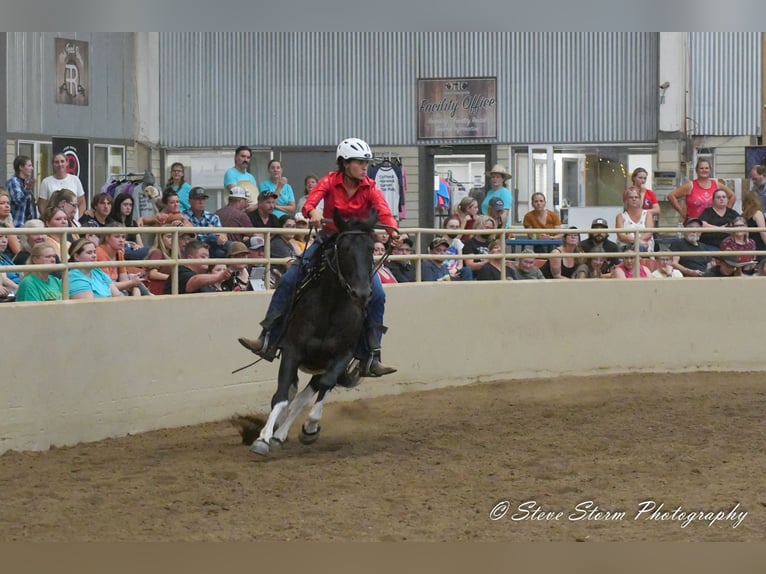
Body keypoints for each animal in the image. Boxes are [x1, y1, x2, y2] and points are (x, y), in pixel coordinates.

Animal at [252, 212, 378, 460]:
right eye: (344, 248)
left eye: (370, 248)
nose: (362, 294)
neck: (330, 308)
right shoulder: (292, 351)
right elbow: (281, 394)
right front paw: (262, 439)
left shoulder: (343, 356)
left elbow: (324, 387)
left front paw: (310, 427)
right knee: (293, 394)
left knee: (307, 395)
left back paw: (282, 434)